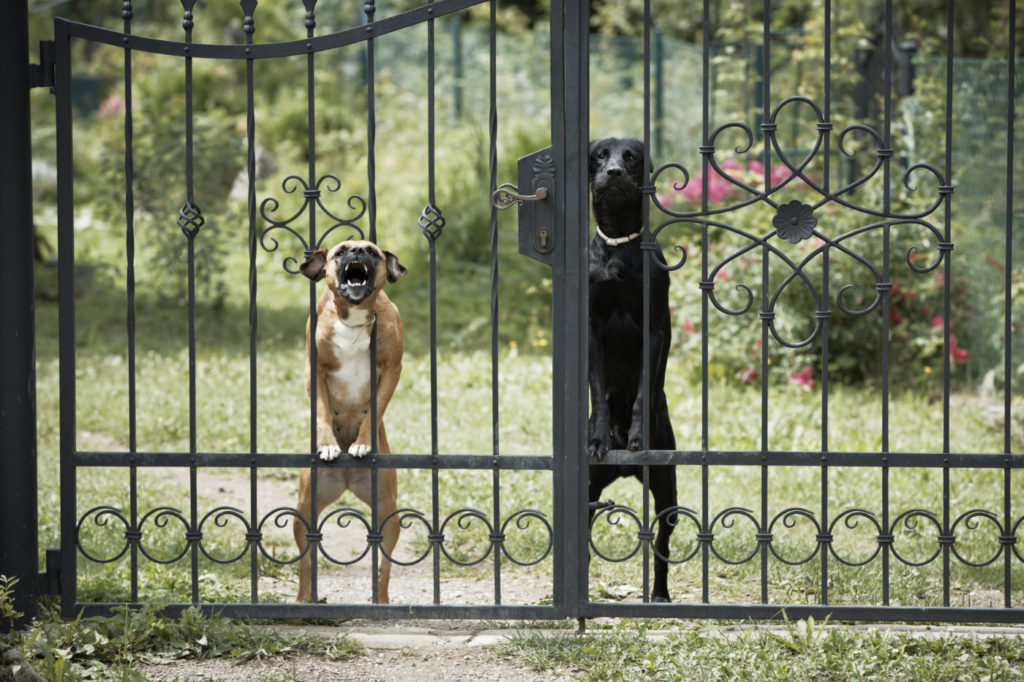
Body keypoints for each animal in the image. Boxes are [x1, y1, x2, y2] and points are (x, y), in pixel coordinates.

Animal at [292, 237, 403, 602]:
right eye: (341, 251)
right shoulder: (313, 371)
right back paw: (304, 600)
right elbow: (323, 412)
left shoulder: (392, 369)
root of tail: (346, 479)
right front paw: (328, 445)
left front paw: (362, 443)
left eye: (372, 251)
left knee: (383, 568)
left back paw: (381, 601)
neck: (353, 318)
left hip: (388, 513)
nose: (357, 252)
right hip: (303, 512)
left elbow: (373, 412)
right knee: (306, 563)